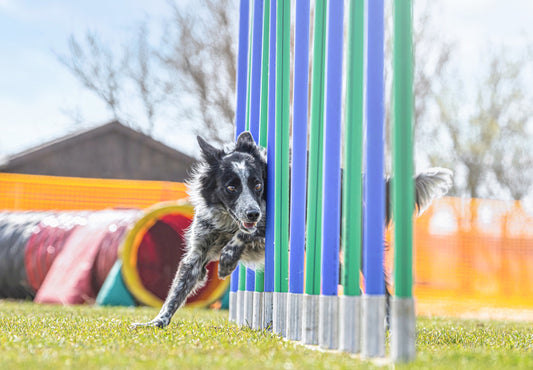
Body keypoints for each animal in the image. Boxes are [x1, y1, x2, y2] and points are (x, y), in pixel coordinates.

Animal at [132, 132, 448, 328]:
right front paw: (156, 322)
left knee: (382, 289)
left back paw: (386, 324)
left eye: (258, 184)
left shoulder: (269, 221)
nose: (252, 212)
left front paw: (228, 260)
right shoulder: (196, 255)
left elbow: (246, 234)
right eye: (231, 187)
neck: (228, 221)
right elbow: (176, 291)